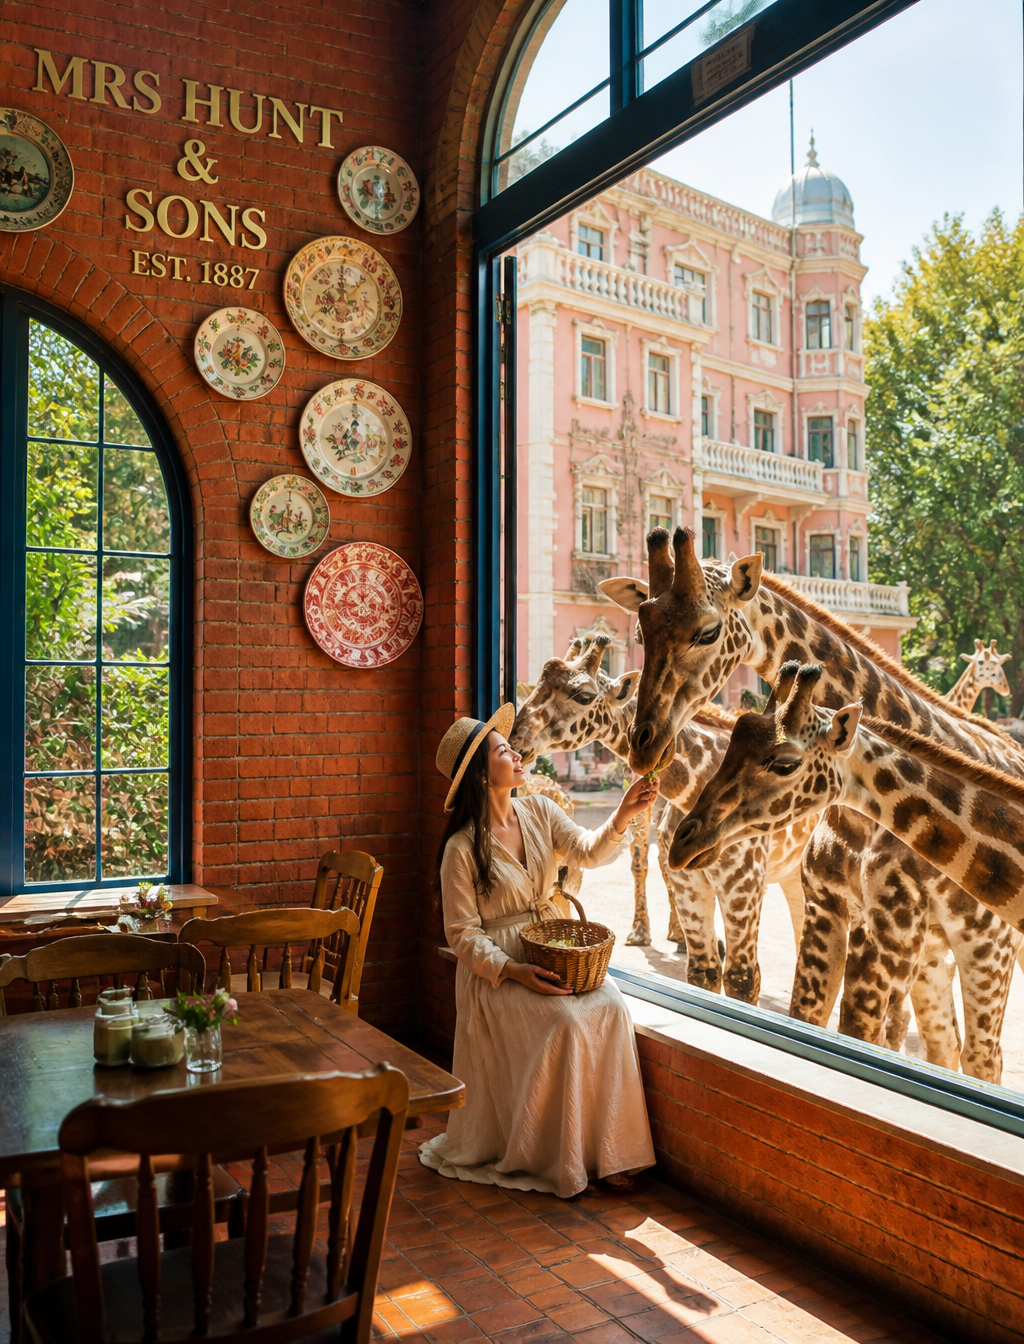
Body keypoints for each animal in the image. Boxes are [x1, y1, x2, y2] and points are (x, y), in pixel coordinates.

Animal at [601, 527, 1024, 1062]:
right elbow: (815, 1016)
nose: (644, 743)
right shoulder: (833, 906)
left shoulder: (908, 931)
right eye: (641, 635)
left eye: (708, 632)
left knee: (977, 1055)